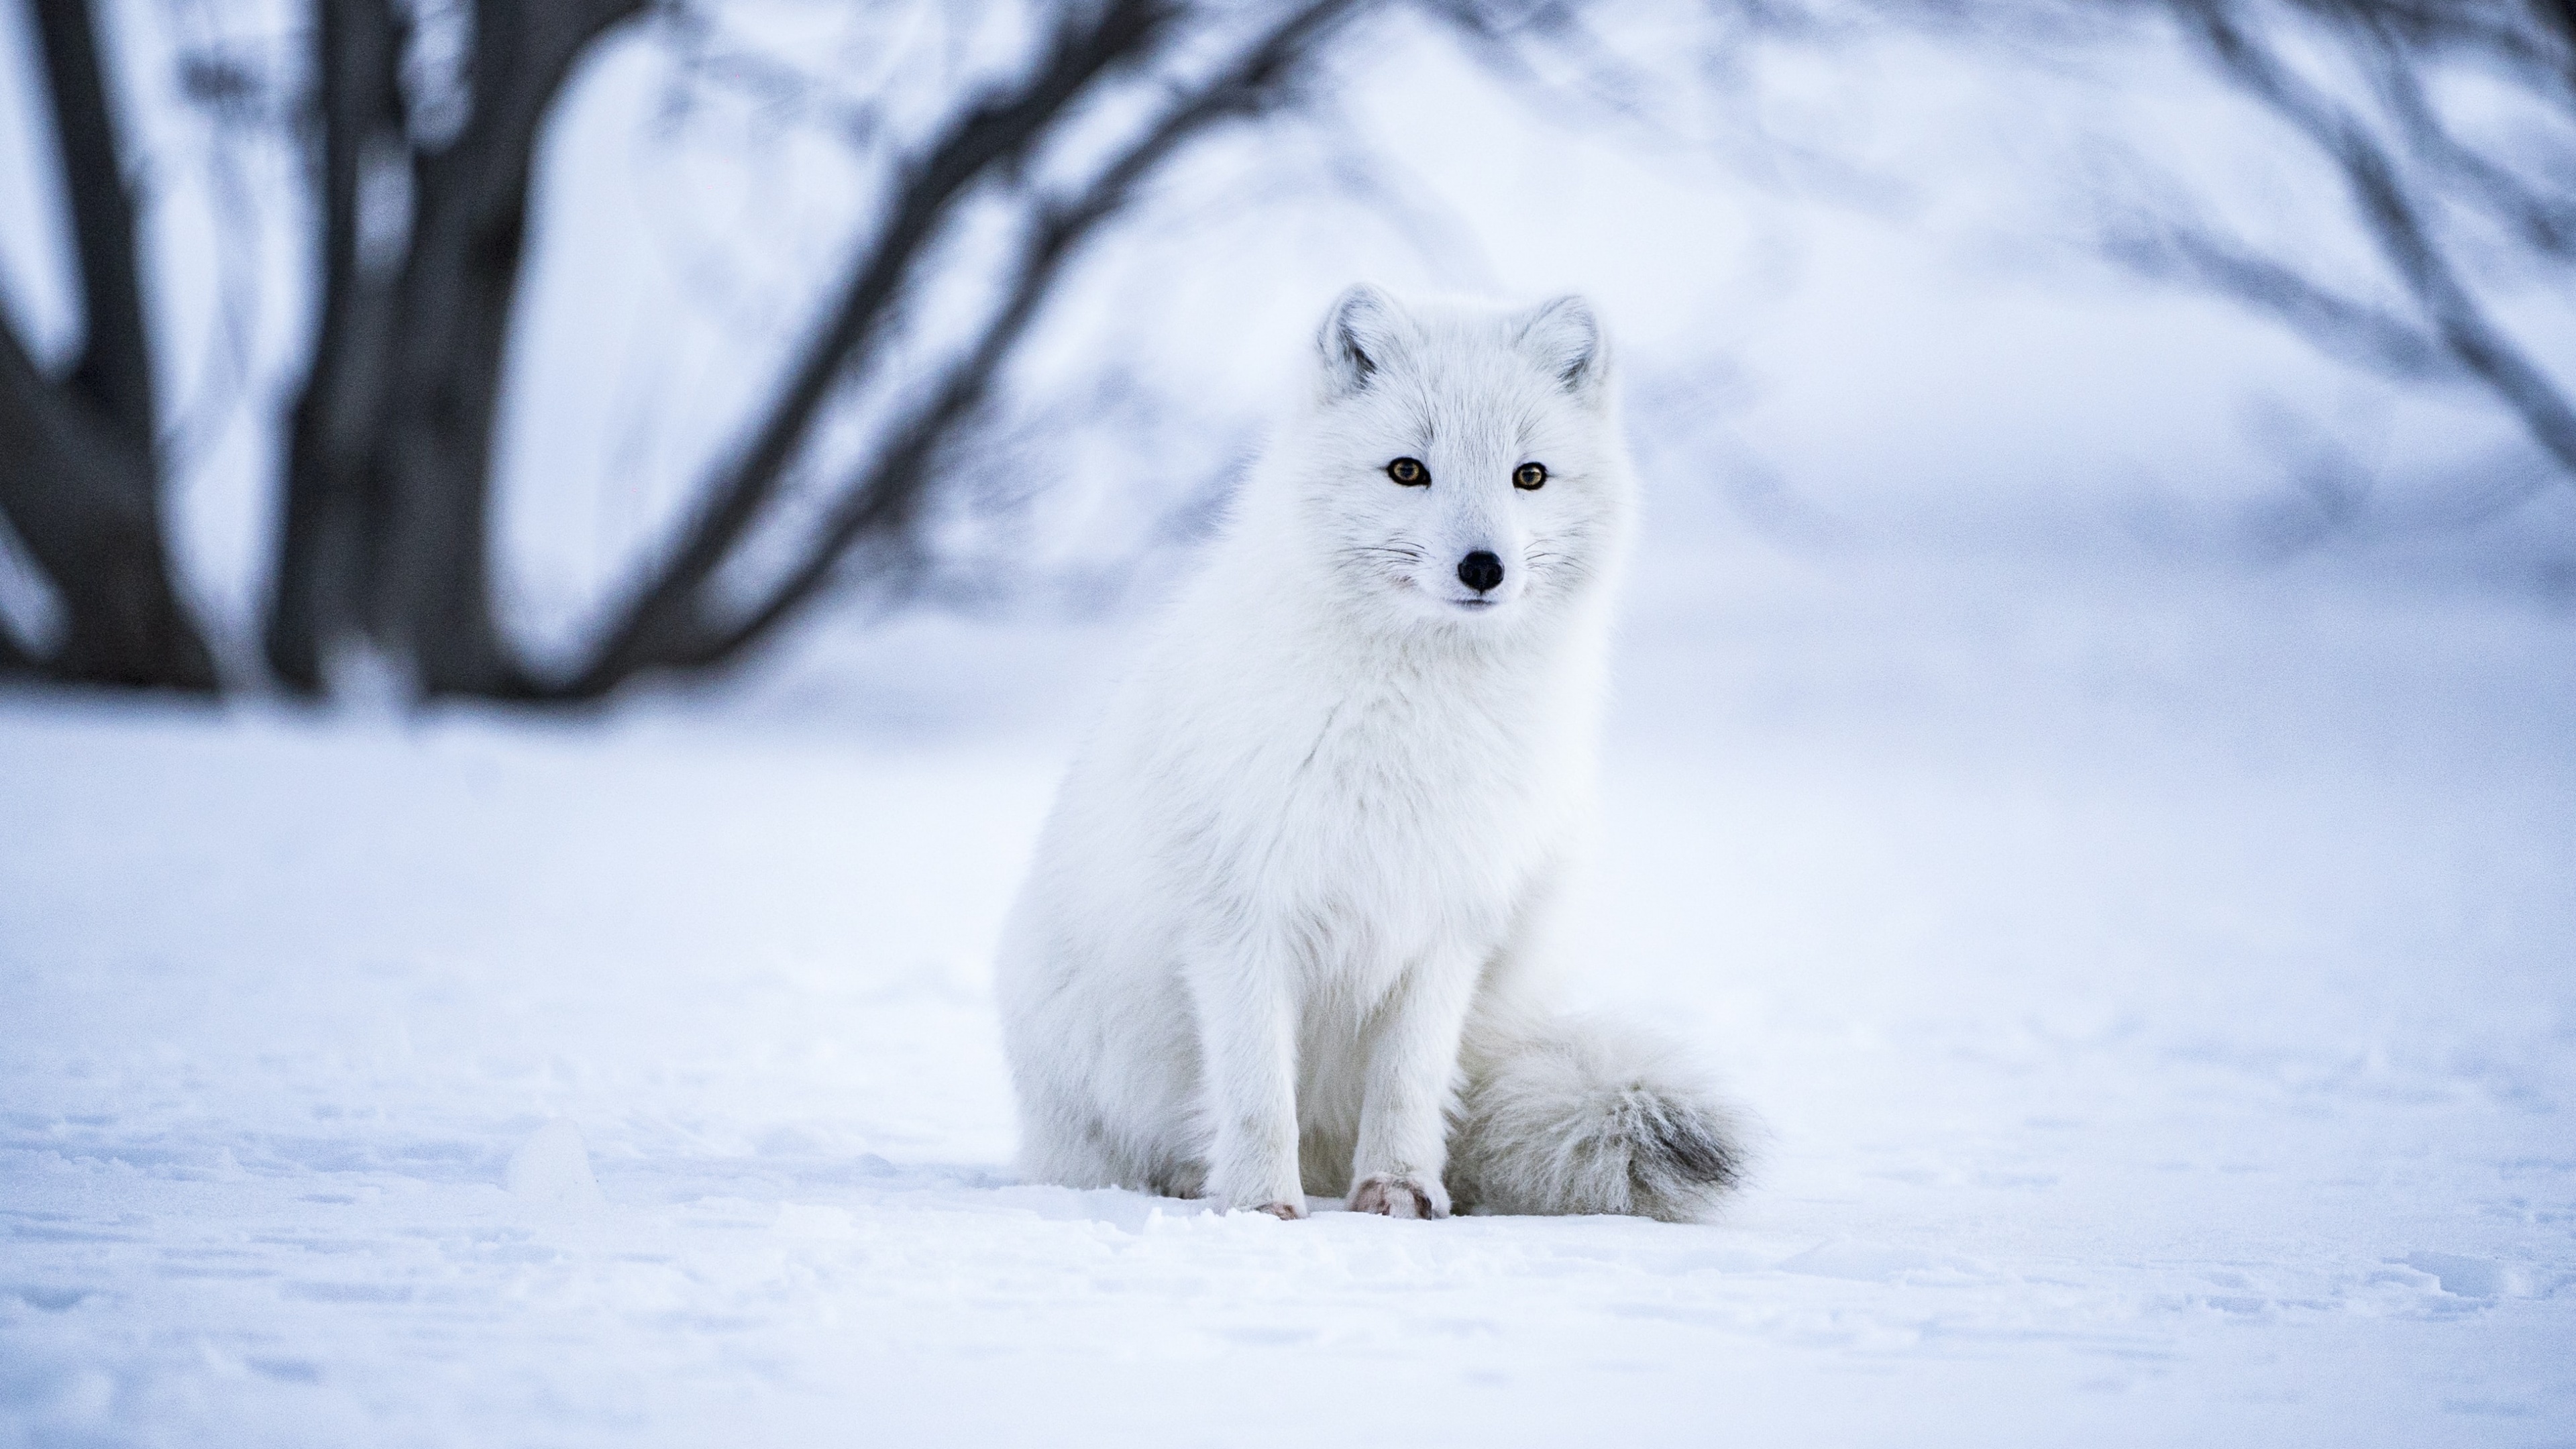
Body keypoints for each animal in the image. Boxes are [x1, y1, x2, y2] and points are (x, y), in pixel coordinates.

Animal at [994, 287, 1741, 1212]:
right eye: (1408, 471)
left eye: (1529, 475)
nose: (1484, 567)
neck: (1414, 717)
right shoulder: (1241, 917)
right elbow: (1255, 1091)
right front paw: (1259, 1206)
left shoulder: (1450, 922)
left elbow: (1409, 1081)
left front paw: (1400, 1192)